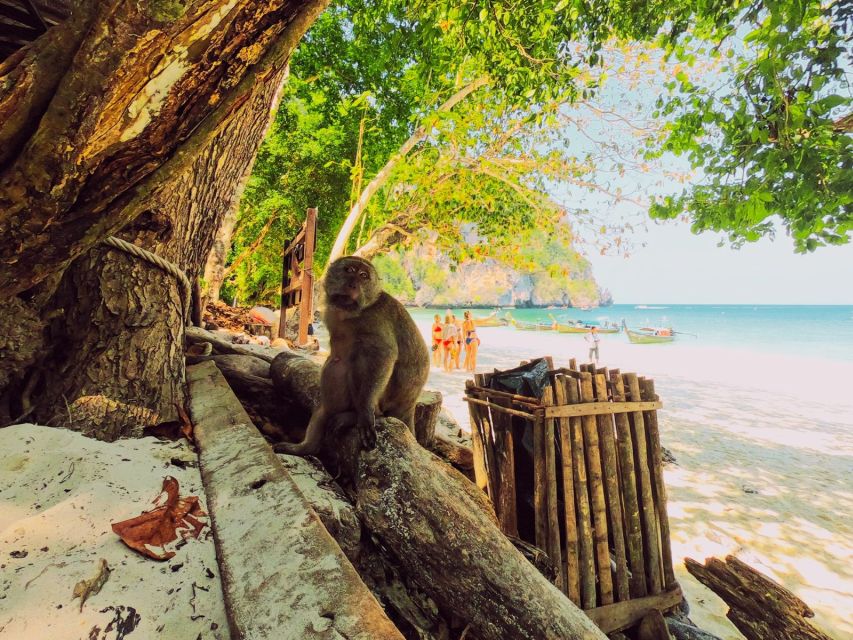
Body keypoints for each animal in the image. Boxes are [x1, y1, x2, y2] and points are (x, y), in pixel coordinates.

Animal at [274, 256, 430, 455]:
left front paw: (364, 412)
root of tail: (410, 404)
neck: (351, 311)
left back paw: (362, 414)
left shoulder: (375, 318)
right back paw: (306, 447)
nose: (353, 284)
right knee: (326, 402)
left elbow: (383, 354)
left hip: (388, 399)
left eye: (363, 276)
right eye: (349, 270)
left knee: (359, 361)